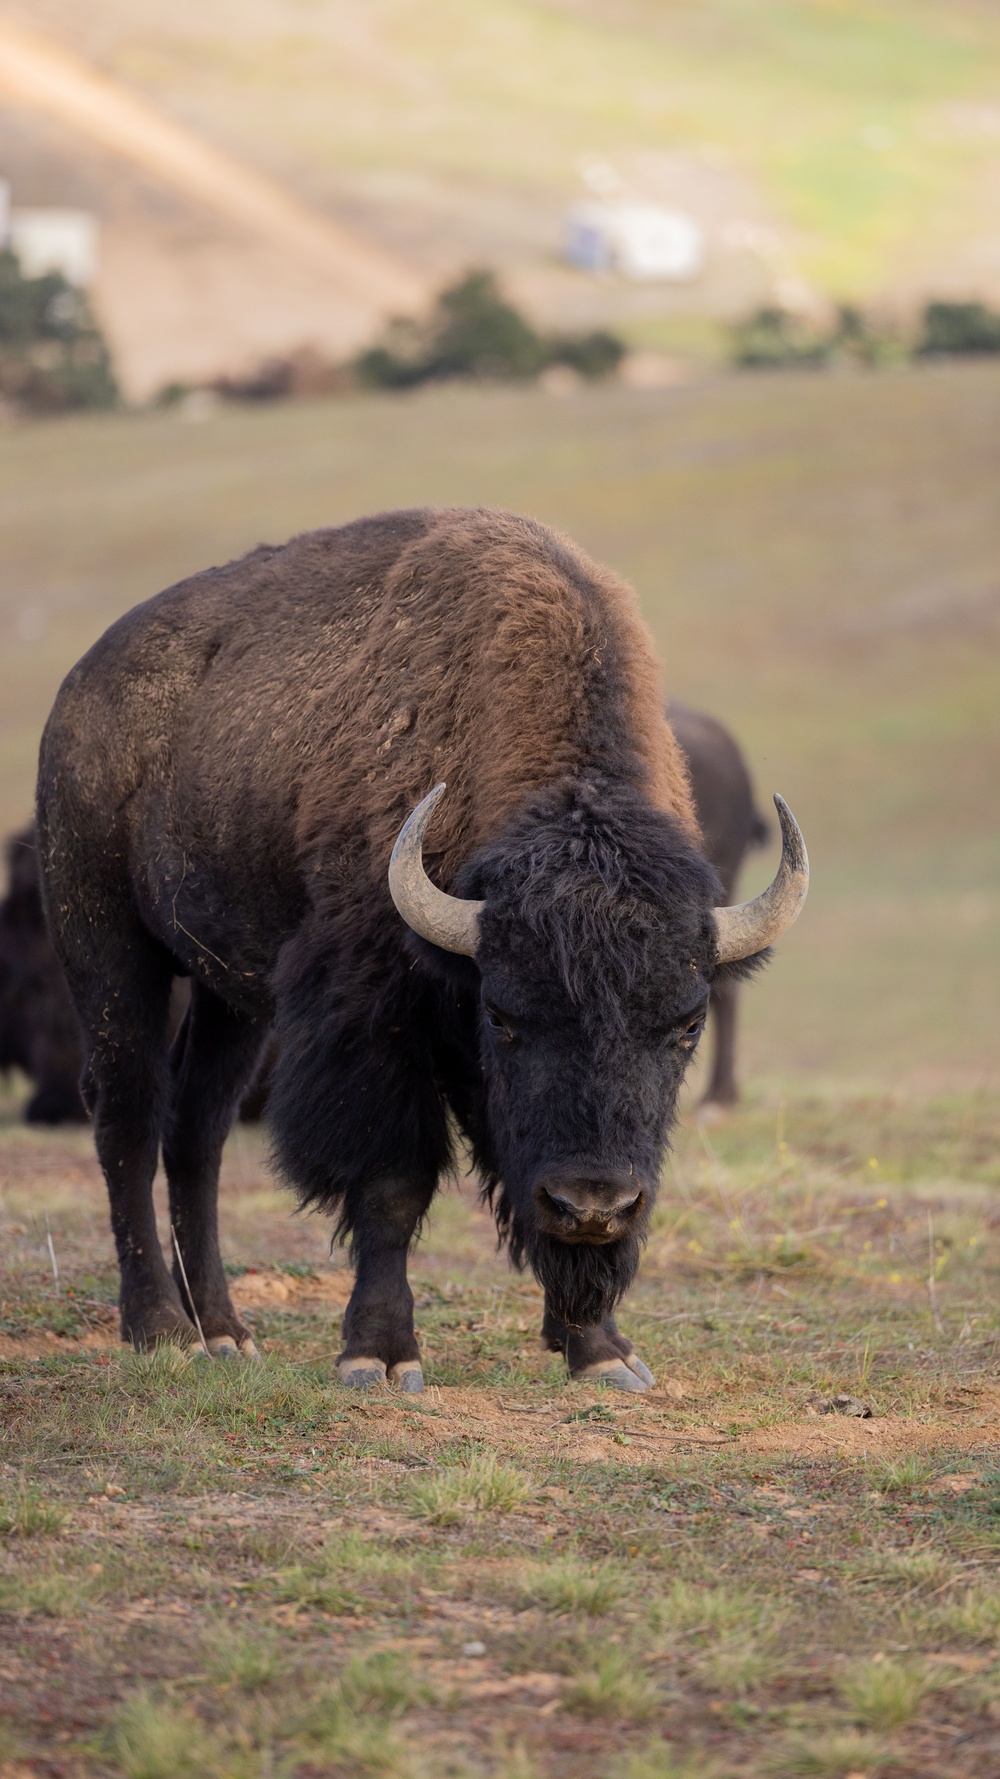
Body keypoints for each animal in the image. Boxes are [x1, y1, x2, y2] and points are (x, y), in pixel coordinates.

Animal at [36, 505, 800, 1387]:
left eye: (684, 1024)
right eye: (505, 1017)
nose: (593, 1204)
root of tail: (77, 694)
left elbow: (511, 1168)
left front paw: (602, 1351)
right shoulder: (376, 1022)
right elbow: (394, 1183)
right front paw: (380, 1354)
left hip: (230, 998)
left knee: (198, 1130)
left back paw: (225, 1331)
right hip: (107, 947)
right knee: (127, 1114)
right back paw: (160, 1328)